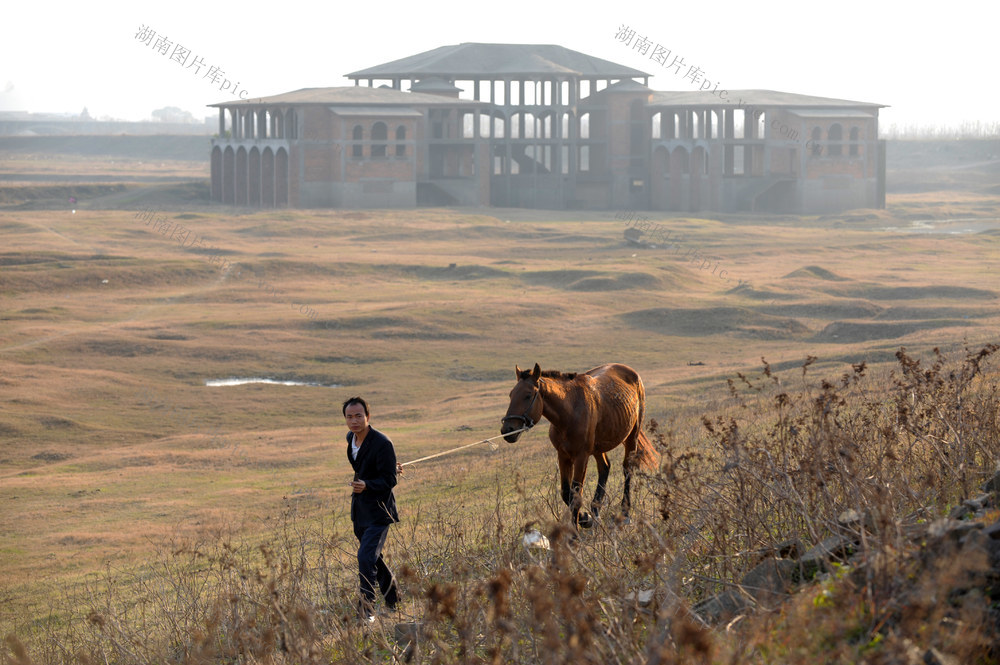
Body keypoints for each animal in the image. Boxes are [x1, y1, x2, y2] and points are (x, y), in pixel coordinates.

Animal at [500, 360, 656, 528]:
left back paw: (625, 513)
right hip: (597, 447)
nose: (507, 429)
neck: (570, 413)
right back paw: (595, 511)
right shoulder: (563, 455)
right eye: (511, 395)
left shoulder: (581, 457)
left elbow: (575, 495)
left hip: (631, 437)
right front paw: (585, 518)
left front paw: (577, 528)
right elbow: (566, 493)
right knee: (605, 467)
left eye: (528, 395)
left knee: (627, 469)